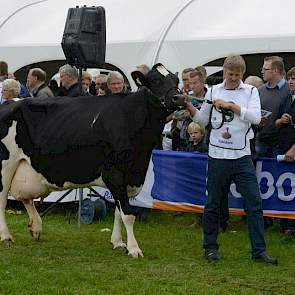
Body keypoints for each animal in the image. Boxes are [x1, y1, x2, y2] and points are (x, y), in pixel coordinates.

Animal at [0, 63, 184, 258]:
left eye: (176, 80)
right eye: (155, 80)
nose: (179, 97)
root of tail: (8, 103)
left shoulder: (129, 175)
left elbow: (118, 212)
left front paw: (118, 242)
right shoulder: (115, 173)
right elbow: (127, 214)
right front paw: (134, 248)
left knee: (25, 197)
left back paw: (36, 227)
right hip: (5, 164)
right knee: (2, 197)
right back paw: (6, 236)